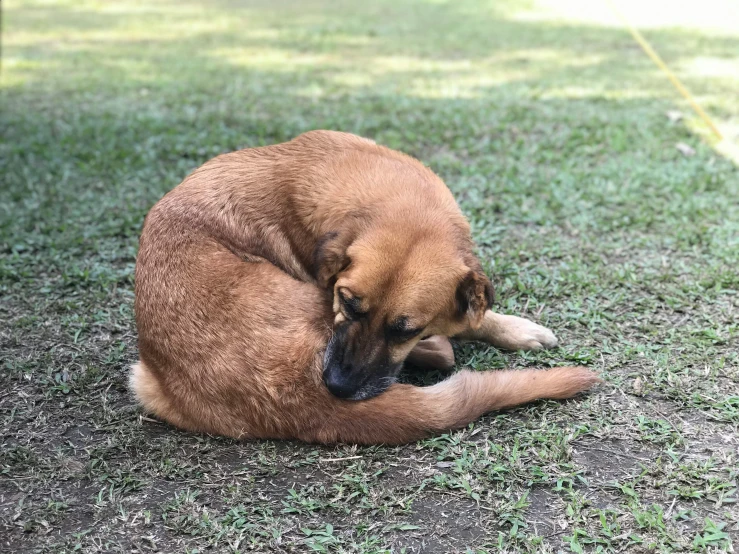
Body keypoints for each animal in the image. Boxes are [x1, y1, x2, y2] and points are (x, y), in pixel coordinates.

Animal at [130, 130, 600, 444]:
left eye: (405, 329)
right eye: (347, 303)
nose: (338, 386)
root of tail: (295, 401)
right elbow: (466, 322)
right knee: (446, 352)